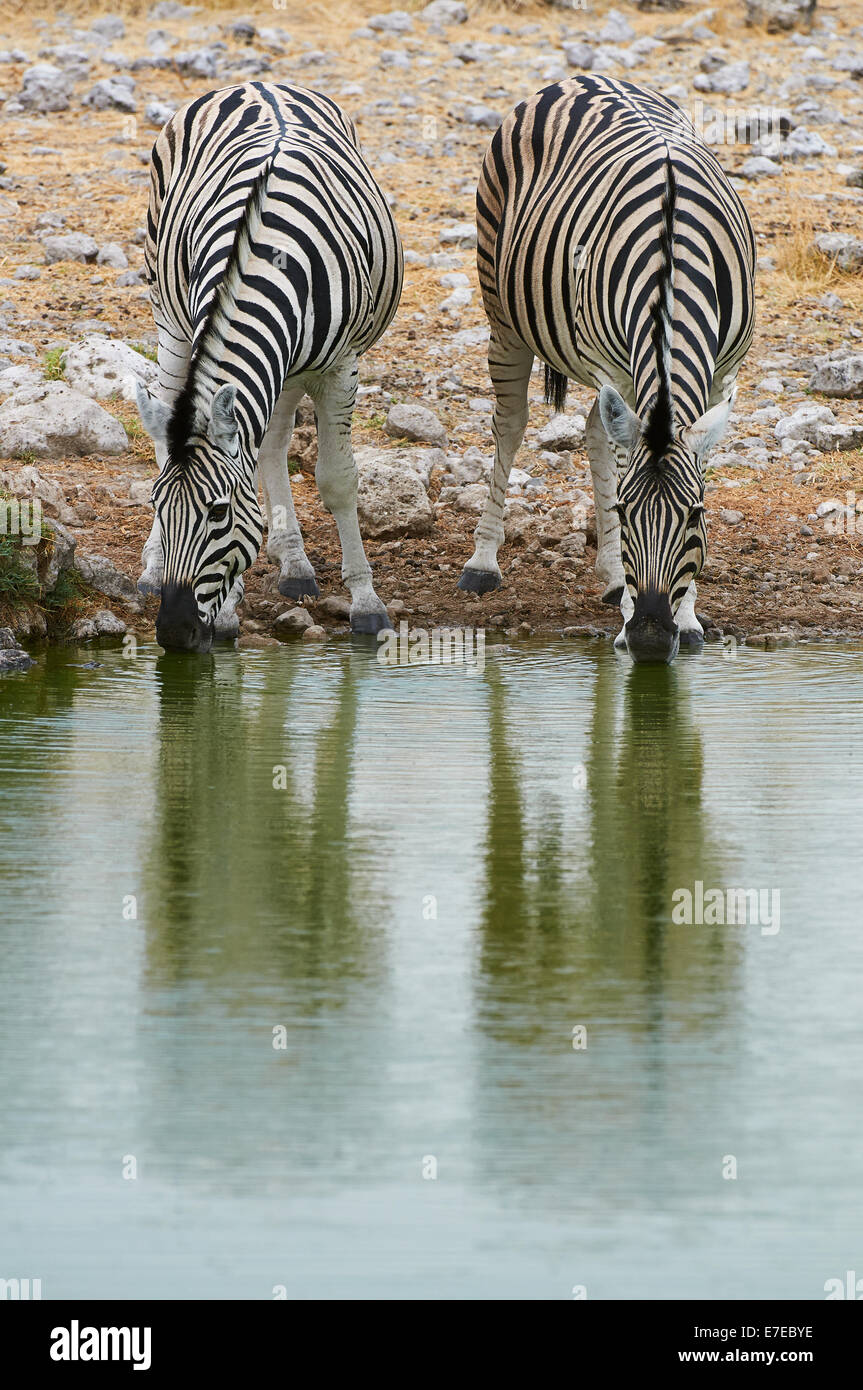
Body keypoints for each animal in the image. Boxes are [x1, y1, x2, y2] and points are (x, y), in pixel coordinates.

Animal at [134, 81, 403, 650]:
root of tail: (258, 83)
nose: (173, 632)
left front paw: (366, 604)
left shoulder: (339, 368)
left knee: (274, 444)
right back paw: (155, 567)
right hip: (167, 316)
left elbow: (337, 480)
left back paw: (295, 564)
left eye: (217, 512)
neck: (270, 261)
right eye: (155, 505)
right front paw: (227, 612)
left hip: (294, 369)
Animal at [458, 74, 755, 661]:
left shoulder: (721, 375)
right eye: (623, 512)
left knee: (596, 429)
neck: (672, 264)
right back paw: (484, 562)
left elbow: (695, 465)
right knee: (511, 424)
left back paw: (613, 577)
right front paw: (630, 609)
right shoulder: (614, 368)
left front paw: (687, 618)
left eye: (697, 516)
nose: (649, 637)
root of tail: (583, 77)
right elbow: (617, 465)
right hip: (503, 311)